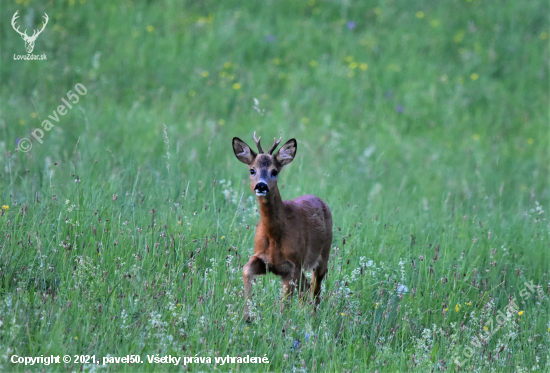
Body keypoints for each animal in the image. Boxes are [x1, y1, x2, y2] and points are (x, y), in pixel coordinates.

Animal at [232, 132, 332, 318]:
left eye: (274, 171)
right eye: (252, 170)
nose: (261, 186)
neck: (275, 236)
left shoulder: (291, 267)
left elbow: (284, 306)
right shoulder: (262, 258)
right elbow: (246, 269)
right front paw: (247, 316)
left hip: (323, 255)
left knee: (315, 290)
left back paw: (312, 318)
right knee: (306, 287)